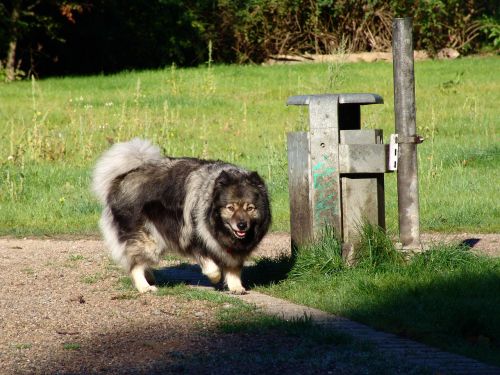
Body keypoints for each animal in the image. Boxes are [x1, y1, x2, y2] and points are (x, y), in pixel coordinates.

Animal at [92, 140, 272, 296]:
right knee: (135, 264)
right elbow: (212, 267)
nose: (242, 225)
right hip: (148, 240)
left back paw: (149, 277)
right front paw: (216, 278)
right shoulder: (195, 237)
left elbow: (233, 268)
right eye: (231, 208)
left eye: (250, 208)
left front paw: (236, 286)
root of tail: (123, 177)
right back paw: (144, 287)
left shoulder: (232, 250)